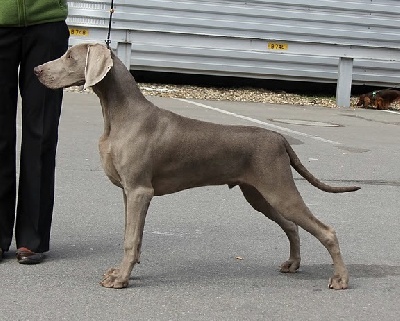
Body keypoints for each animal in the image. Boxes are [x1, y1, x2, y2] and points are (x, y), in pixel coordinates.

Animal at [33, 43, 360, 290]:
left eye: (69, 56)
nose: (36, 70)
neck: (120, 115)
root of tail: (279, 137)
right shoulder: (128, 192)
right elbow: (132, 237)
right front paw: (123, 271)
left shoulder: (140, 190)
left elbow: (130, 239)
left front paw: (121, 279)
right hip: (259, 194)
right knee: (291, 225)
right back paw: (293, 264)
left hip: (278, 189)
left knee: (326, 230)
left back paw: (340, 279)